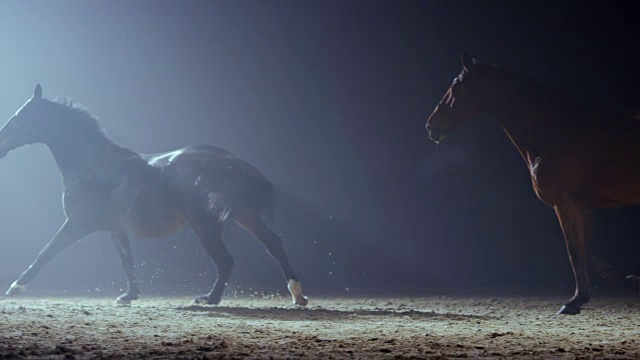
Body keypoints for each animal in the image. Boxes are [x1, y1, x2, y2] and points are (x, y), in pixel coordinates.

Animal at [1, 84, 308, 306]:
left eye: (20, 117)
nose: (1, 144)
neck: (94, 167)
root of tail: (229, 162)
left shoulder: (79, 224)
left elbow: (46, 252)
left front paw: (15, 287)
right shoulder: (115, 228)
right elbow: (126, 261)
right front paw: (128, 296)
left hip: (206, 225)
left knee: (226, 260)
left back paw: (210, 299)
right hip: (245, 214)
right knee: (273, 244)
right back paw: (297, 295)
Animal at [424, 51, 640, 316]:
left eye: (455, 85)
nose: (431, 125)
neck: (559, 131)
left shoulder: (564, 203)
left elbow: (575, 251)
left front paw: (574, 301)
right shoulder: (582, 207)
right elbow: (588, 252)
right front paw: (624, 281)